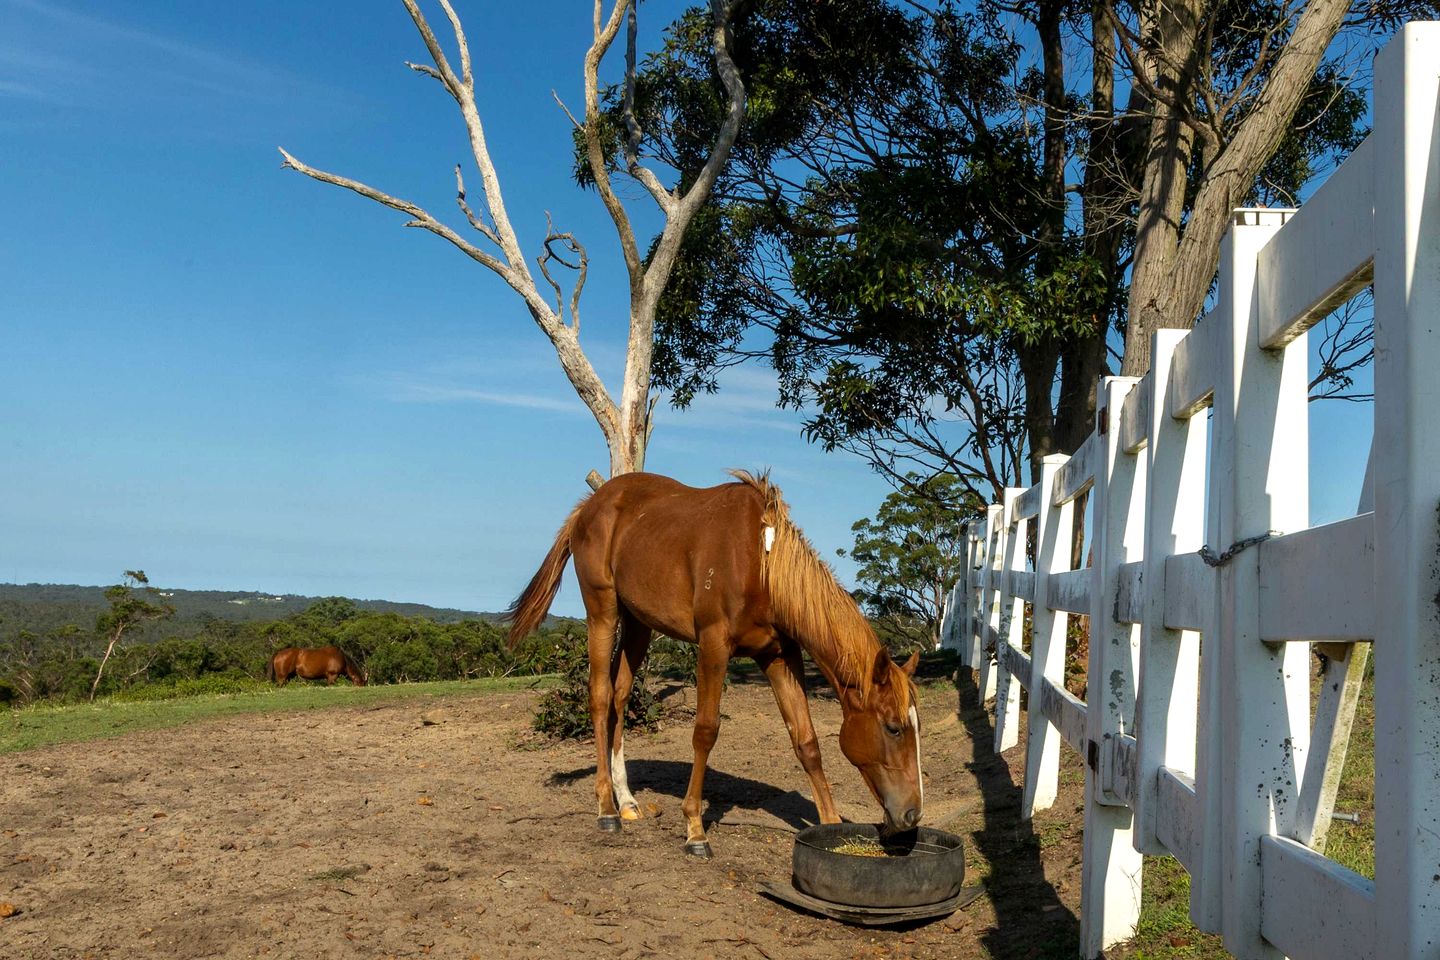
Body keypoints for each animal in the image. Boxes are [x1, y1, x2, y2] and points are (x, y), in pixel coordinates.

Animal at [506, 470, 923, 858]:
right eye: (893, 728)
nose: (912, 815)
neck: (761, 562)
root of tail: (589, 506)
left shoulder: (779, 655)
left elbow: (805, 740)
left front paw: (831, 822)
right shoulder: (713, 647)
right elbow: (705, 731)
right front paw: (694, 828)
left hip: (638, 623)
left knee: (619, 697)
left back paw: (626, 801)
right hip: (602, 612)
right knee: (599, 695)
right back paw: (607, 808)